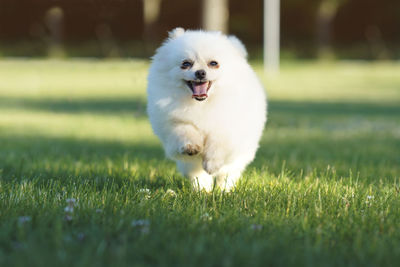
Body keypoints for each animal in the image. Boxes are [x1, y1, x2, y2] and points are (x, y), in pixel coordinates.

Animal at [146, 28, 266, 192]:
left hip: (240, 155)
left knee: (227, 174)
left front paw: (212, 163)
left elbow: (217, 143)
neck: (202, 103)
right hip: (189, 164)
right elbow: (184, 129)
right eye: (186, 64)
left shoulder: (227, 127)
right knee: (198, 174)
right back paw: (203, 191)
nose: (200, 73)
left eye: (213, 63)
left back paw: (224, 190)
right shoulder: (173, 122)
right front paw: (191, 146)